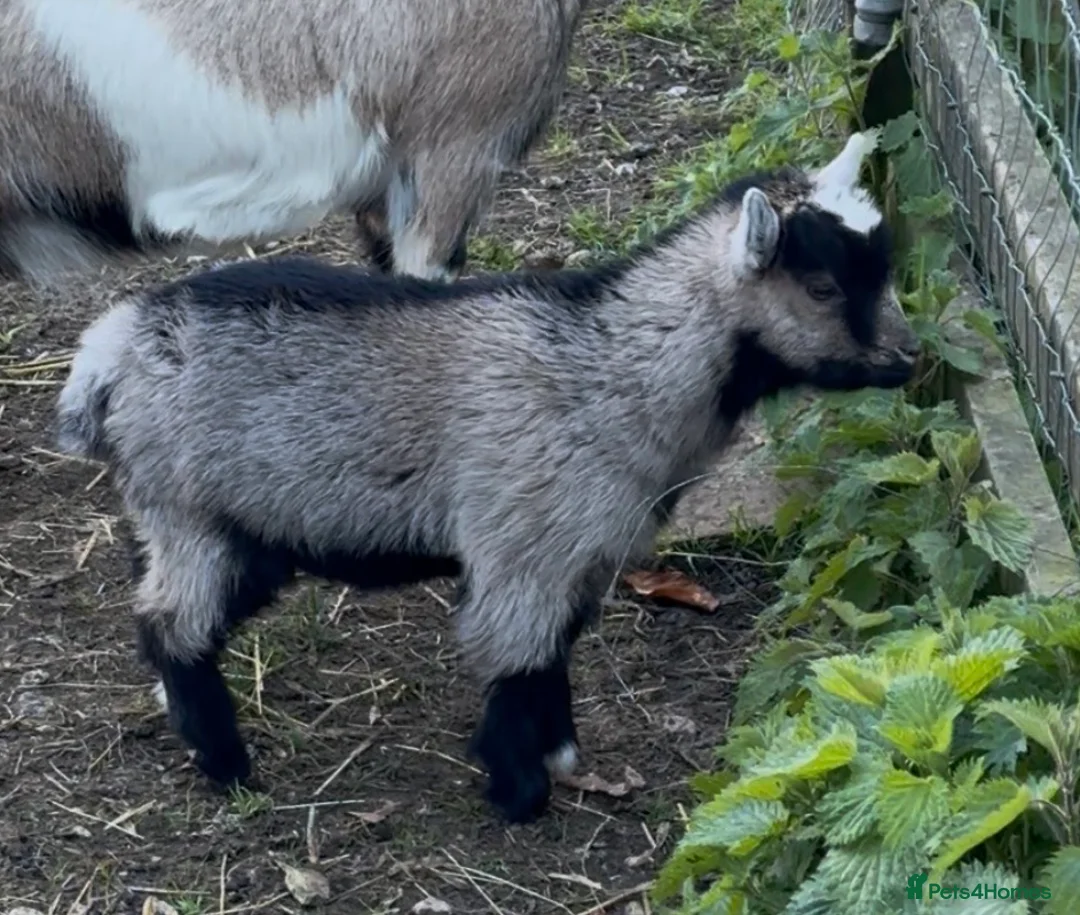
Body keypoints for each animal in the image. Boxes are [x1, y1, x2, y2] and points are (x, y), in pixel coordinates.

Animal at [55, 132, 920, 824]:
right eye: (823, 286)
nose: (910, 357)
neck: (611, 367)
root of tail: (111, 349)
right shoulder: (524, 545)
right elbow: (515, 656)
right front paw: (518, 792)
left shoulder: (582, 554)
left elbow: (555, 651)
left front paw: (562, 755)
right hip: (190, 510)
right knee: (172, 624)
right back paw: (226, 763)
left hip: (236, 524)